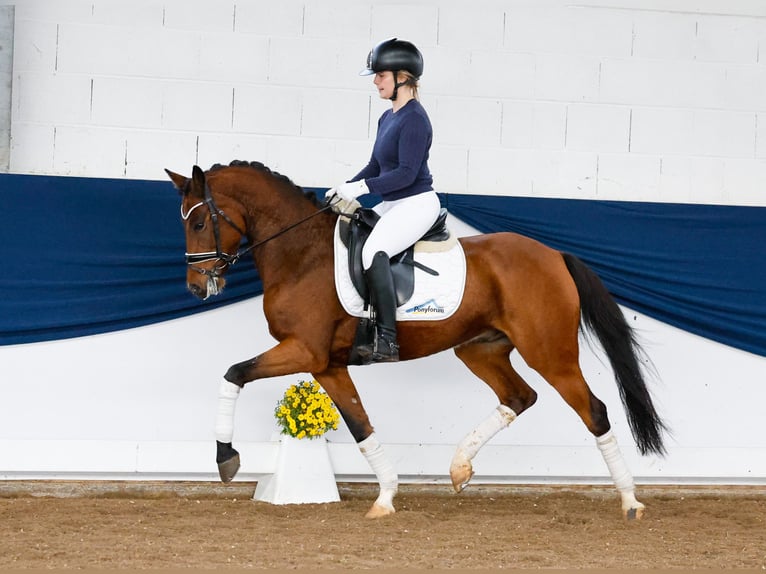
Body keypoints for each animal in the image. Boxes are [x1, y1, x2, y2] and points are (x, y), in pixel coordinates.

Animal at [166, 161, 664, 520]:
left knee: (594, 411)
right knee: (519, 396)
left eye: (198, 224)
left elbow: (233, 373)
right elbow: (360, 425)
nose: (195, 287)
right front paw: (386, 497)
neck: (301, 255)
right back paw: (459, 468)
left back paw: (630, 501)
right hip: (479, 349)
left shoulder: (302, 350)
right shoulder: (326, 363)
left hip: (550, 354)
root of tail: (554, 254)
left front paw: (226, 458)